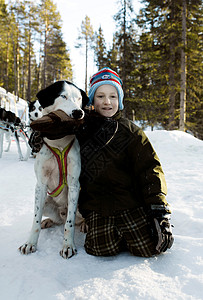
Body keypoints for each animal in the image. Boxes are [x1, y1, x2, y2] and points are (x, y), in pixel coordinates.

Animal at [18, 81, 88, 258]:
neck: (59, 143)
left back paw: (84, 224)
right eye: (63, 96)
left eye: (79, 98)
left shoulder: (74, 185)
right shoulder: (41, 185)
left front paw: (68, 245)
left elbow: (69, 224)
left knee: (72, 220)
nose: (78, 112)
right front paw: (30, 243)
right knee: (58, 220)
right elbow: (35, 220)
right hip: (46, 202)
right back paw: (48, 221)